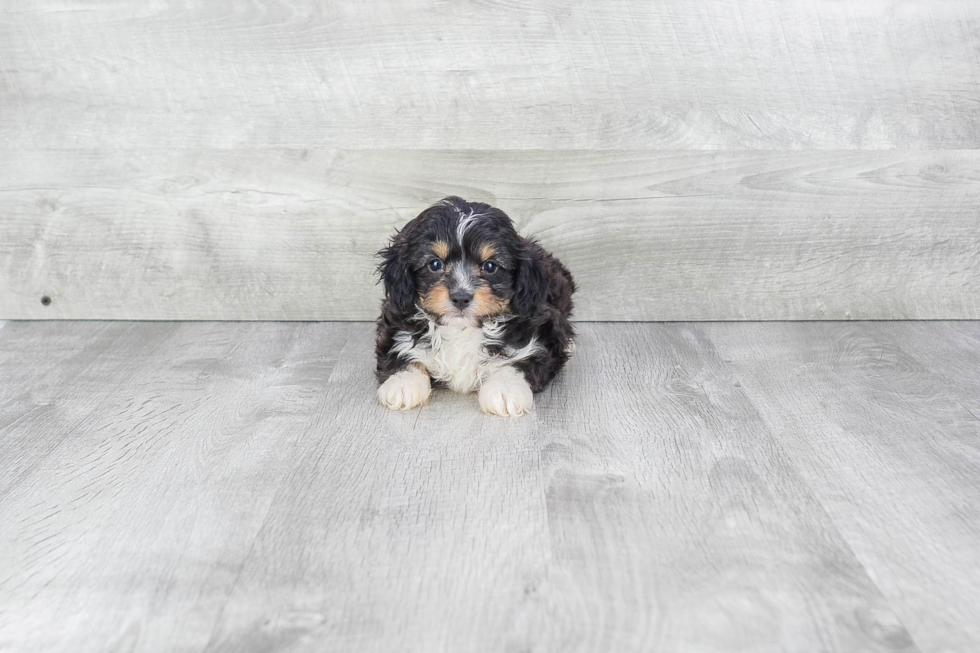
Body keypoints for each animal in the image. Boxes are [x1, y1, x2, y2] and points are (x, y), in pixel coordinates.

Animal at [376, 196, 576, 416]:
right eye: (435, 264)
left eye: (490, 266)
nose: (461, 297)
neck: (462, 329)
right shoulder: (395, 322)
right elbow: (399, 351)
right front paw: (403, 383)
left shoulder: (539, 335)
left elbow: (518, 360)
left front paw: (505, 389)